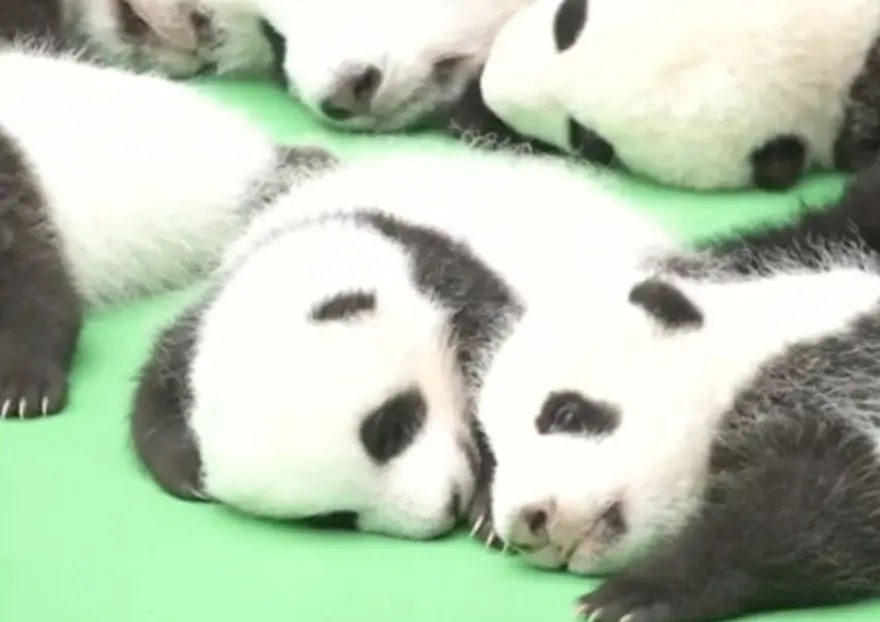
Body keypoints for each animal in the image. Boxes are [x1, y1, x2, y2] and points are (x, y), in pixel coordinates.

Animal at [128, 146, 677, 539]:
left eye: (390, 426)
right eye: (335, 518)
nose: (447, 506)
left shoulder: (451, 278)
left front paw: (488, 507)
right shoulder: (200, 321)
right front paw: (182, 469)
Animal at [475, 253, 880, 622]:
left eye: (565, 414)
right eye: (496, 457)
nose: (527, 524)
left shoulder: (837, 369)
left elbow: (823, 499)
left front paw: (636, 594)